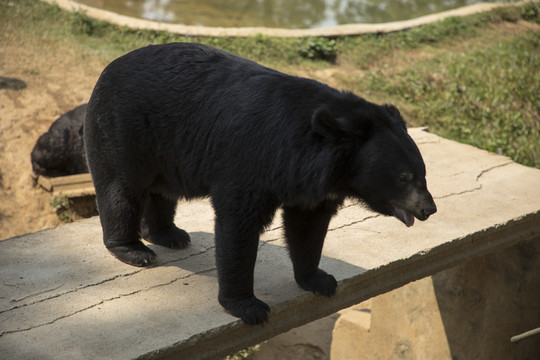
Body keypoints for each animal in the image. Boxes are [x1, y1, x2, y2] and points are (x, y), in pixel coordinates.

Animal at [85, 41, 438, 324]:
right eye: (404, 177)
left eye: (423, 173)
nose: (429, 209)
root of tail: (107, 69)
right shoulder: (252, 160)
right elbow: (238, 227)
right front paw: (248, 307)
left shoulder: (312, 185)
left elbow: (308, 226)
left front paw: (319, 280)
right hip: (122, 131)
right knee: (120, 191)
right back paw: (135, 250)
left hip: (163, 147)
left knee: (161, 191)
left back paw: (169, 235)